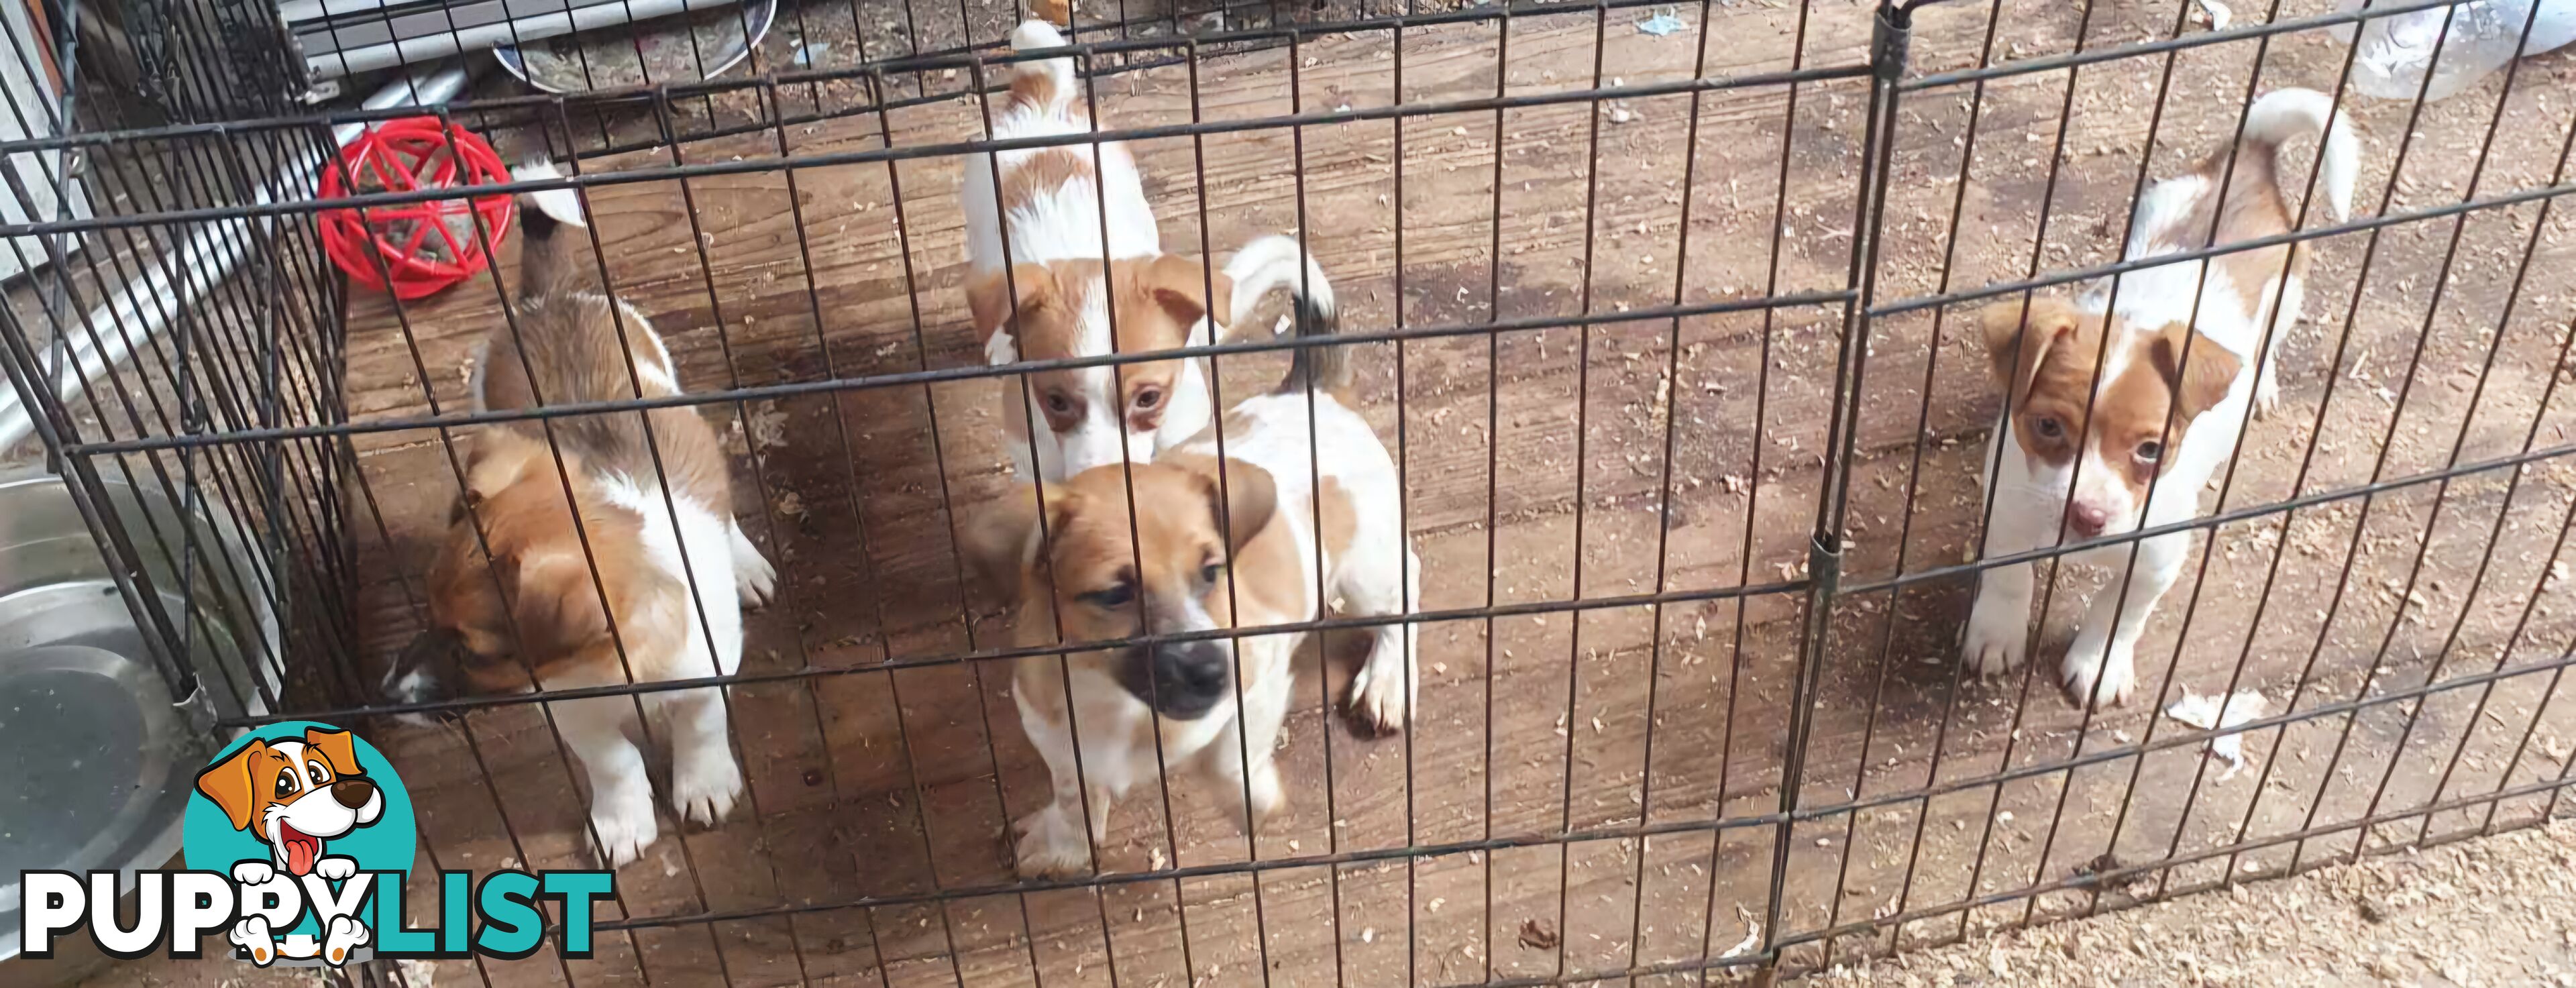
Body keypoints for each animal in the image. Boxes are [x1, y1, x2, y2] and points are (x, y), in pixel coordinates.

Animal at [384, 158, 773, 869]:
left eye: (472, 652)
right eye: (426, 612)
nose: (385, 693)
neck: (614, 671)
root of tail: (553, 299)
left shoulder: (707, 671)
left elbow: (701, 723)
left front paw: (704, 781)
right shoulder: (570, 708)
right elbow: (614, 761)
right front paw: (621, 819)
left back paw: (747, 564)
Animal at [968, 306, 1421, 875]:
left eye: (1211, 572)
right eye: (1114, 594)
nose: (1212, 672)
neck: (1120, 705)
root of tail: (1313, 392)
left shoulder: (1259, 671)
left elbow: (1231, 758)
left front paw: (1253, 800)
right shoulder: (1051, 729)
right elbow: (1075, 793)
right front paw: (1063, 843)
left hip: (1366, 569)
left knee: (1405, 594)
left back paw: (1388, 681)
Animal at [1968, 89, 2359, 710]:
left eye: (2151, 449)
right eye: (2048, 427)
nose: (2087, 516)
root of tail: (2245, 160)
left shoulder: (2155, 560)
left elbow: (2119, 612)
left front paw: (2099, 662)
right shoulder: (2006, 510)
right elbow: (2008, 579)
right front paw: (1995, 635)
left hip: (2288, 293)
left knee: (2269, 343)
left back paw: (2262, 385)